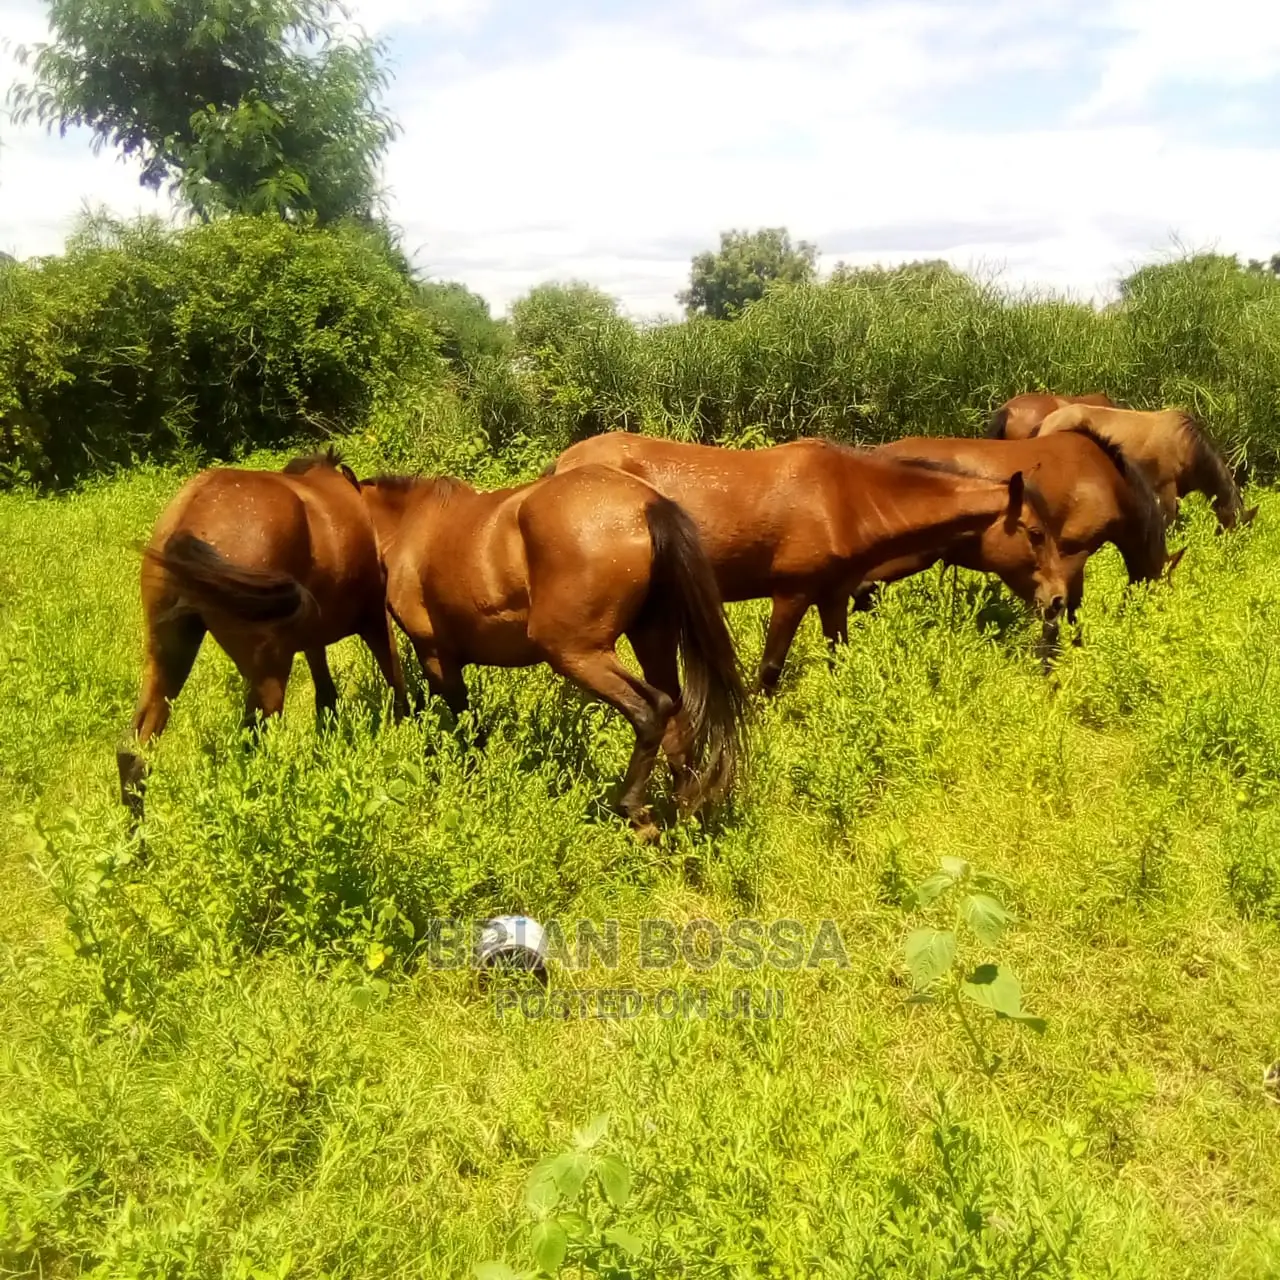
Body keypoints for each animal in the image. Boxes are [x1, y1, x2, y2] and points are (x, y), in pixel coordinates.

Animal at [116, 447, 408, 820]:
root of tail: (190, 517)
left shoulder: (313, 638)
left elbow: (326, 697)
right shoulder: (374, 618)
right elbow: (395, 679)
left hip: (167, 656)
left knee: (134, 754)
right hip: (267, 673)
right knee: (254, 751)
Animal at [357, 464, 748, 836]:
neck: (410, 523)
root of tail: (646, 504)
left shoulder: (436, 654)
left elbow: (466, 725)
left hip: (578, 655)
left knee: (653, 710)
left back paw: (635, 811)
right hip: (652, 642)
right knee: (678, 721)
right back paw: (684, 811)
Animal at [551, 433, 1068, 691]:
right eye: (1036, 534)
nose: (1059, 600)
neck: (844, 500)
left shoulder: (833, 597)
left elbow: (840, 658)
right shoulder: (792, 594)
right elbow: (769, 671)